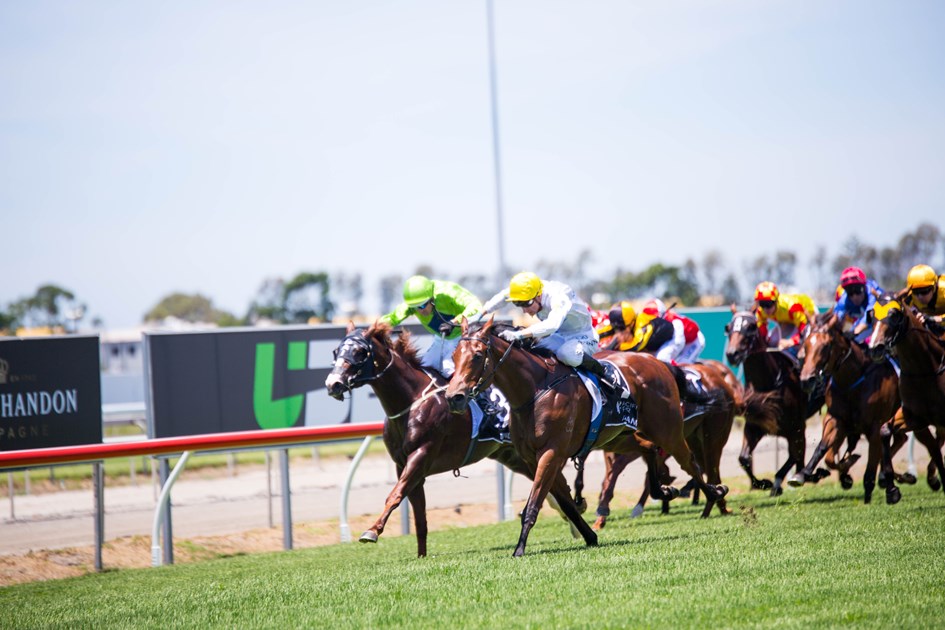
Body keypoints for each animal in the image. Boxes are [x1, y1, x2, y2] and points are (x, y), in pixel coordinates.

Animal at [326, 326, 592, 556]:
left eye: (360, 352)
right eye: (337, 351)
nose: (333, 384)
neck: (411, 401)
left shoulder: (421, 455)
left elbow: (395, 494)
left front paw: (371, 531)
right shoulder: (404, 465)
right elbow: (419, 515)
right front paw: (421, 556)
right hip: (516, 456)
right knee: (558, 490)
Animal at [446, 320, 728, 556]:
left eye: (477, 356)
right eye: (454, 355)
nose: (453, 397)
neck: (534, 391)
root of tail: (657, 362)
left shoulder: (551, 453)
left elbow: (535, 502)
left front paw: (519, 548)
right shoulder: (533, 458)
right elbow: (566, 503)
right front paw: (590, 535)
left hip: (667, 429)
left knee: (689, 461)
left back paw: (715, 492)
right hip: (618, 436)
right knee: (648, 447)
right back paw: (665, 490)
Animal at [728, 308, 824, 496]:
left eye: (751, 327)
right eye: (727, 328)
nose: (732, 354)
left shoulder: (797, 427)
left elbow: (796, 454)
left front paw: (780, 482)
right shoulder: (755, 426)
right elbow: (744, 458)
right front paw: (762, 483)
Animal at [792, 312, 904, 504]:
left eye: (825, 346)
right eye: (806, 344)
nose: (806, 380)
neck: (852, 380)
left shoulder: (875, 426)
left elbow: (870, 469)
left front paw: (873, 495)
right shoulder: (836, 419)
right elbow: (825, 451)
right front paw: (805, 473)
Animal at [868, 294, 944, 506]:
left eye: (894, 314)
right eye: (871, 315)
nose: (875, 348)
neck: (925, 369)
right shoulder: (916, 417)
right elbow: (885, 431)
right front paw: (891, 490)